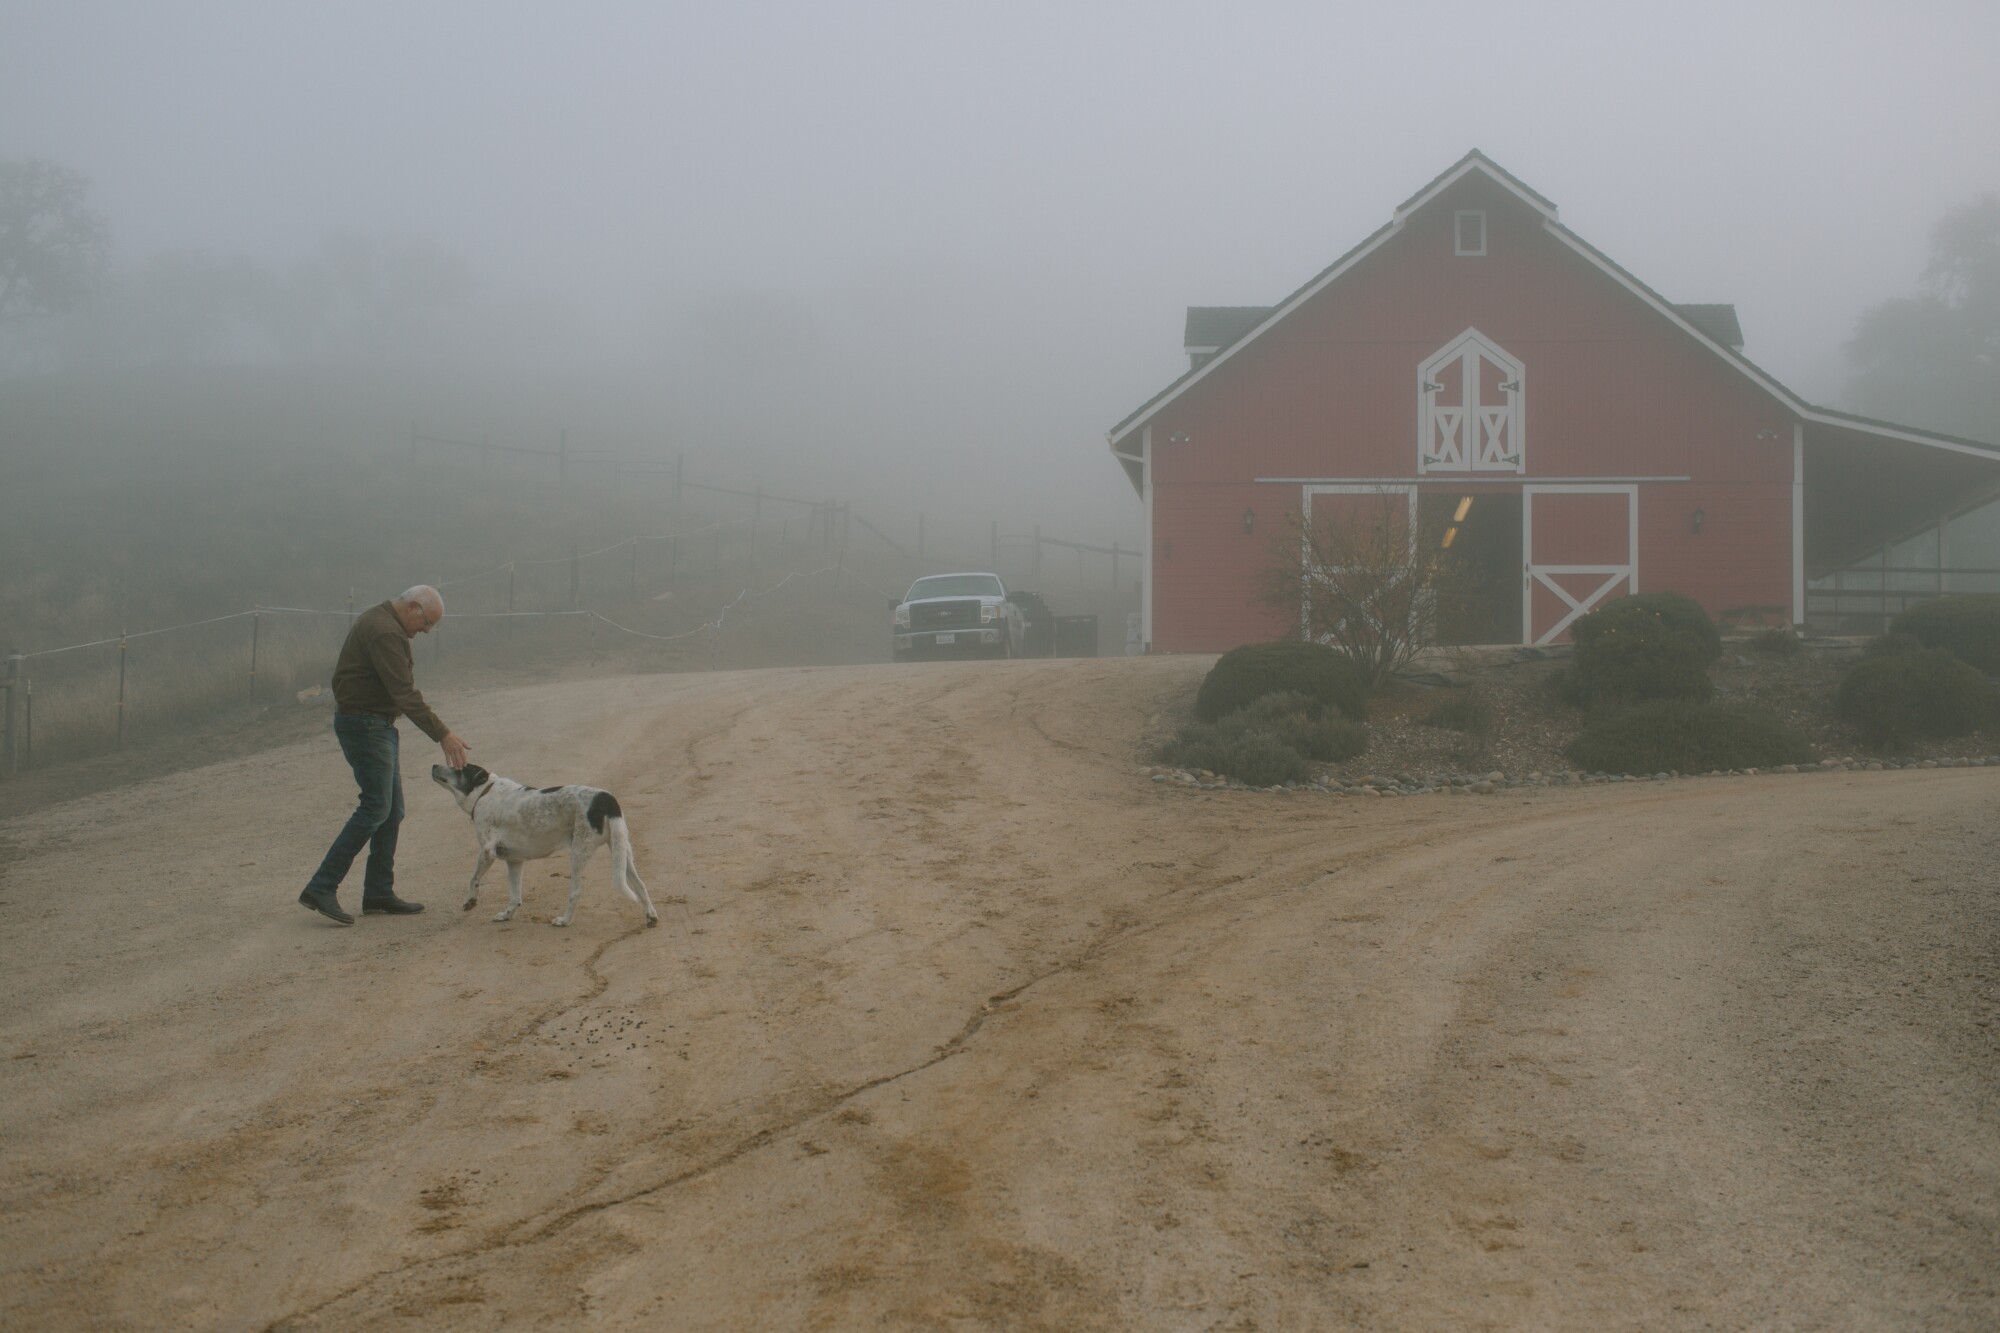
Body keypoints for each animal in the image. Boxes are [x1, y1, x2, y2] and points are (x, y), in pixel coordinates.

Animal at [432, 764, 664, 928]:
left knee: (575, 892)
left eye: (458, 768)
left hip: (579, 852)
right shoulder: (514, 861)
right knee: (640, 885)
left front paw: (470, 901)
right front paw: (507, 915)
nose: (434, 765)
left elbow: (473, 880)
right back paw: (651, 916)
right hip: (622, 850)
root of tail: (606, 799)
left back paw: (564, 921)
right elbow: (515, 897)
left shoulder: (487, 852)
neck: (484, 791)